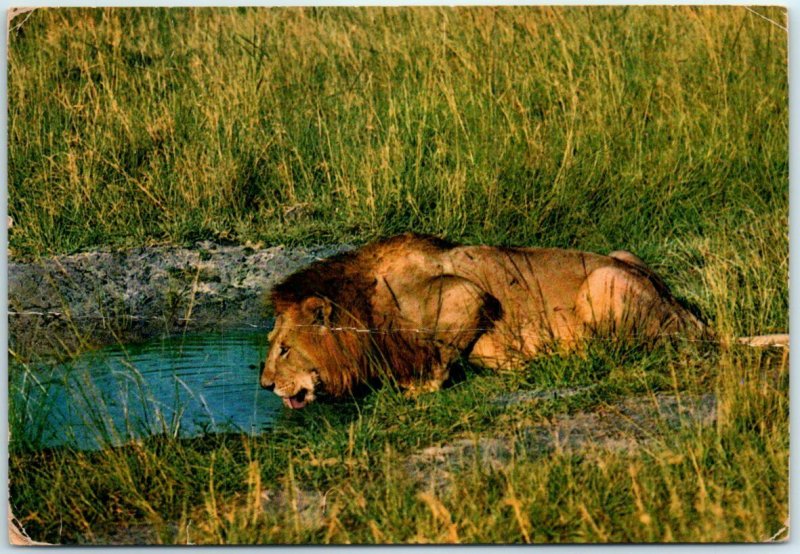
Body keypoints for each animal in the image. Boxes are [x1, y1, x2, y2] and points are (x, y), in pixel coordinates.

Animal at [260, 231, 784, 408]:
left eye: (284, 349)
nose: (264, 386)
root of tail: (684, 313)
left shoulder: (464, 294)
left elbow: (437, 357)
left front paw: (417, 387)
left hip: (605, 282)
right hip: (625, 257)